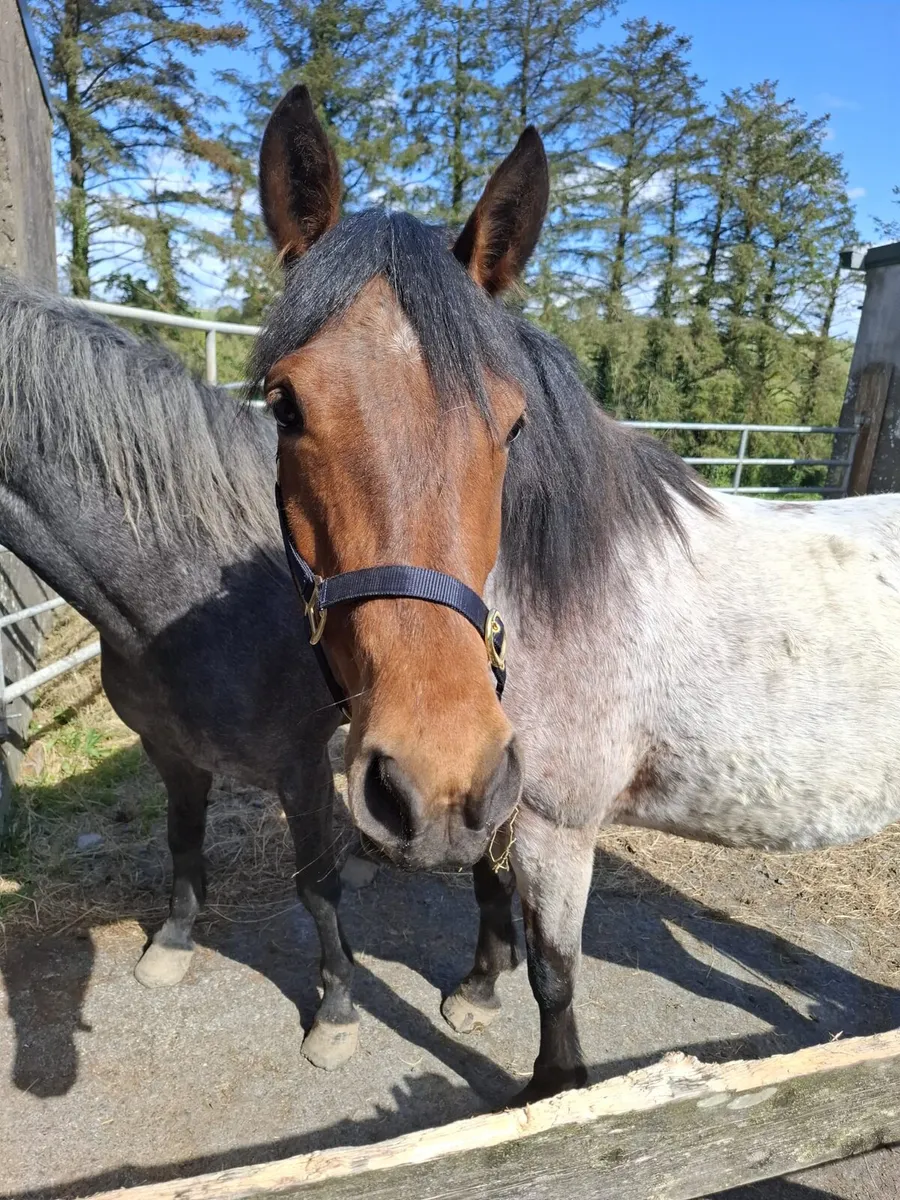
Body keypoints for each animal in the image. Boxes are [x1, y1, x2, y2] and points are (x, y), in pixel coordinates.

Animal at [0, 276, 364, 1070]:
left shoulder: (299, 766)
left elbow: (316, 888)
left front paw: (337, 1012)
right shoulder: (170, 751)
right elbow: (182, 842)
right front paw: (172, 944)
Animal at [258, 84, 900, 1103]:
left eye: (513, 425)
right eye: (285, 406)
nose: (425, 767)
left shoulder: (560, 824)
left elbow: (557, 973)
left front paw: (555, 1092)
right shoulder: (498, 790)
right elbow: (487, 888)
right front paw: (480, 988)